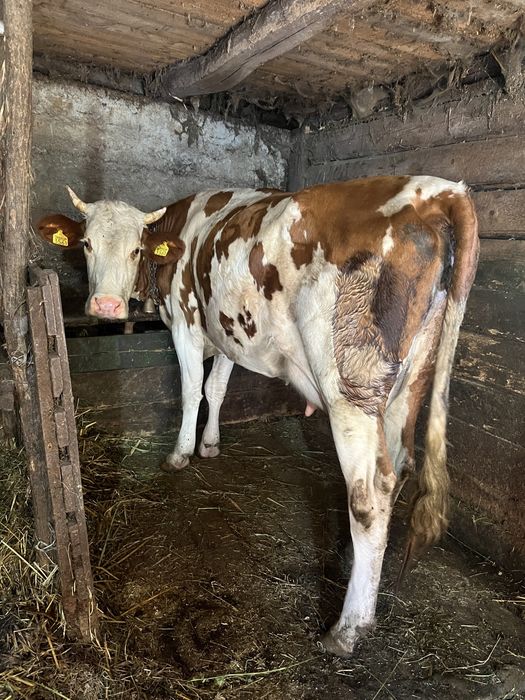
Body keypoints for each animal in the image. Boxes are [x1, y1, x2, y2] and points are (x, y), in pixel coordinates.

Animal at [37, 175, 479, 656]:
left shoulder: (187, 324)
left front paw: (180, 453)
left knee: (371, 492)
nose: (105, 306)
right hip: (409, 382)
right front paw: (210, 445)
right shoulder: (227, 331)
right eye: (86, 244)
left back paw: (347, 628)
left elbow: (191, 390)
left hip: (350, 387)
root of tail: (435, 190)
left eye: (137, 249)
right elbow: (216, 388)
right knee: (398, 467)